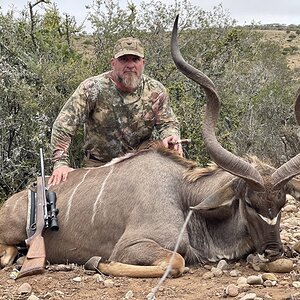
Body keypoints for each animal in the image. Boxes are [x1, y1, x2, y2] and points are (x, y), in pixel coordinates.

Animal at [0, 15, 300, 278]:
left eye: (283, 203)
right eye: (248, 203)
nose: (272, 250)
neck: (185, 195)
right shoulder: (132, 246)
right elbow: (176, 262)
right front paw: (98, 263)